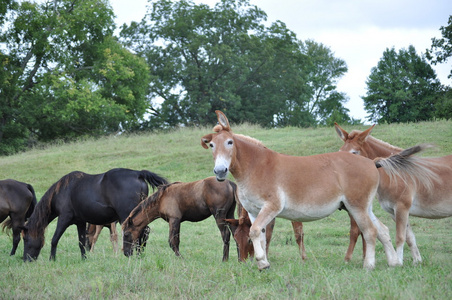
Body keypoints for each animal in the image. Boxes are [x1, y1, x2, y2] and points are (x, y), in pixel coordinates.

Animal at [22, 168, 167, 262]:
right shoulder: (80, 222)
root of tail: (138, 174)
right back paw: (140, 254)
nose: (25, 260)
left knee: (139, 233)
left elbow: (54, 239)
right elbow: (81, 242)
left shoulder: (63, 219)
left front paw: (52, 259)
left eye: (25, 239)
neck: (62, 191)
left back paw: (137, 255)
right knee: (144, 232)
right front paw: (84, 259)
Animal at [202, 111, 434, 270]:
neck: (257, 166)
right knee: (383, 231)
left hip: (357, 208)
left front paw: (261, 261)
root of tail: (371, 162)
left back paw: (368, 265)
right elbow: (260, 234)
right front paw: (263, 263)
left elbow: (256, 232)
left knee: (370, 231)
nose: (220, 171)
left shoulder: (271, 208)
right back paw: (394, 263)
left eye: (230, 142)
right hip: (364, 207)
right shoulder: (253, 212)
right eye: (212, 145)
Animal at [334, 123, 450, 264]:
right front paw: (416, 261)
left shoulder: (401, 208)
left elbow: (400, 237)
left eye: (354, 152)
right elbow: (409, 237)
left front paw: (398, 262)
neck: (395, 172)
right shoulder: (394, 211)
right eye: (340, 151)